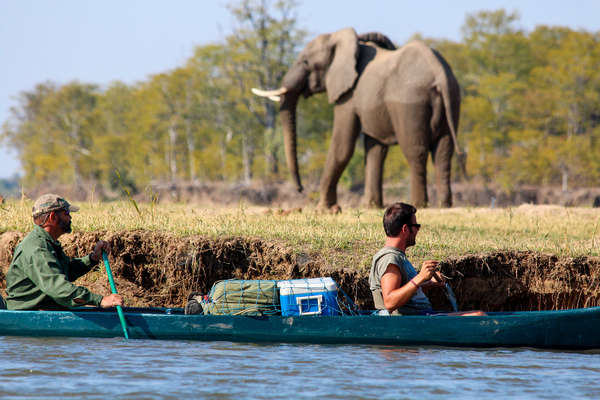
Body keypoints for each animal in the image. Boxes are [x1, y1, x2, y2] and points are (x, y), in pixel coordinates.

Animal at [251, 27, 462, 209]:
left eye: (305, 62)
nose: (300, 189)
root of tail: (439, 73)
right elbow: (375, 149)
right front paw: (370, 207)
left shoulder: (348, 96)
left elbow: (342, 145)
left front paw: (324, 209)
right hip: (453, 98)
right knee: (444, 151)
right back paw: (444, 205)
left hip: (410, 103)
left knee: (415, 151)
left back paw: (419, 204)